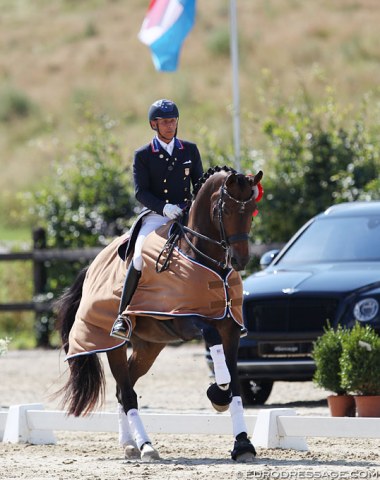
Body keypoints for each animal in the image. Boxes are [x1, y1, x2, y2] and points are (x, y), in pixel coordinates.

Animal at [56, 165, 262, 462]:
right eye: (226, 209)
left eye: (252, 209)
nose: (240, 260)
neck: (207, 262)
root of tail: (92, 264)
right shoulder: (184, 319)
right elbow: (214, 347)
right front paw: (217, 391)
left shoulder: (231, 328)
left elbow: (235, 386)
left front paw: (242, 444)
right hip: (113, 344)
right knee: (127, 392)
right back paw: (145, 446)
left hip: (149, 347)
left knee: (123, 390)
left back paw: (129, 444)